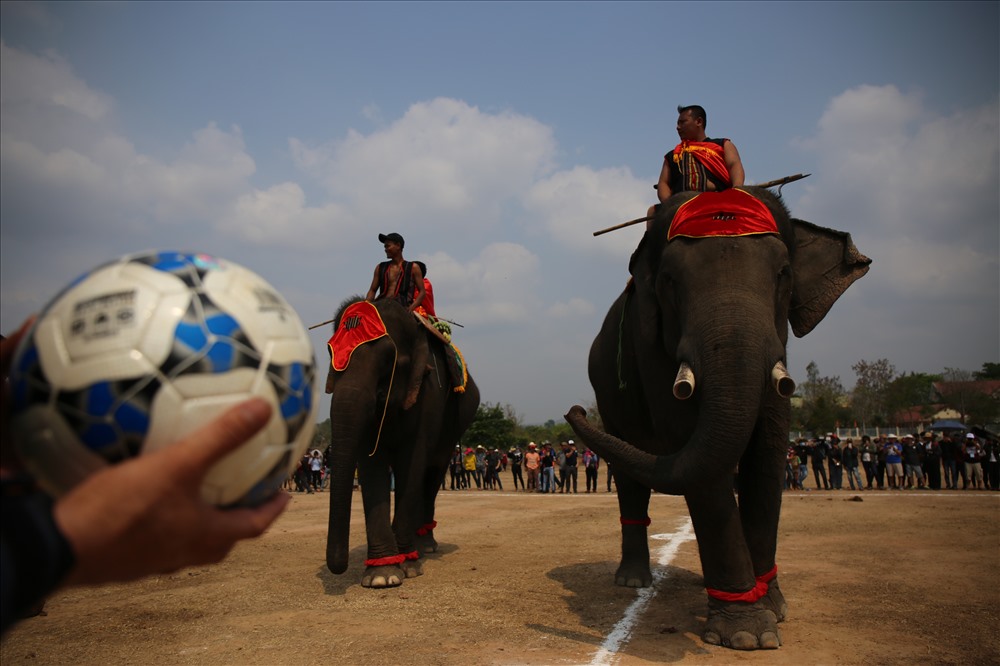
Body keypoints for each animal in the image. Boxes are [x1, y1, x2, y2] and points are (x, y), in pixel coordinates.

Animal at [326, 296, 478, 588]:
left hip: (456, 424)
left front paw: (406, 568)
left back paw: (425, 546)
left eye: (388, 359)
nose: (337, 569)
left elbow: (413, 461)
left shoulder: (428, 394)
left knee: (431, 474)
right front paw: (382, 576)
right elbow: (372, 464)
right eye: (331, 356)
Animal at [568, 185, 872, 648]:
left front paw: (774, 609)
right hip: (610, 396)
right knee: (632, 477)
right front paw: (747, 633)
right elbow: (696, 454)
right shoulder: (649, 345)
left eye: (783, 273)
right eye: (670, 282)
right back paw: (633, 581)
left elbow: (768, 453)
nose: (576, 409)